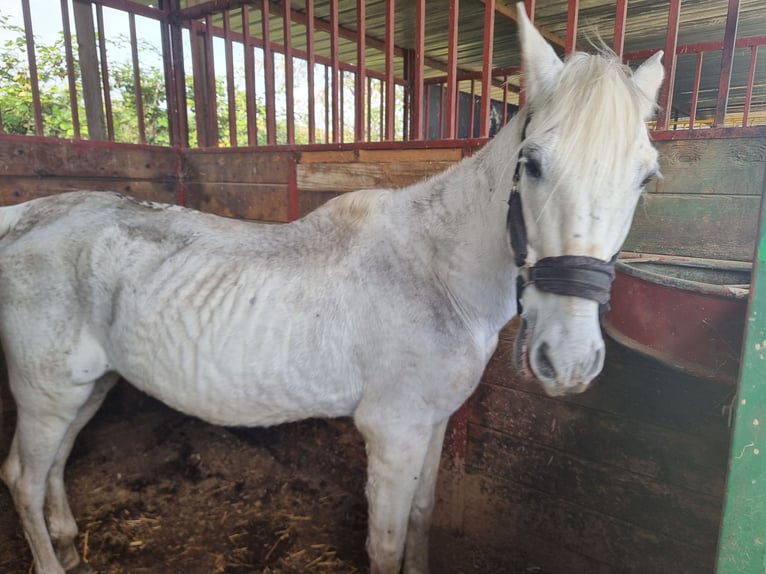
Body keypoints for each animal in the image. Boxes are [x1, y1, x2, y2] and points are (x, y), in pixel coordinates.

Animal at [0, 5, 664, 574]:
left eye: (646, 177)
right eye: (531, 163)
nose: (568, 360)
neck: (436, 274)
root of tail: (25, 218)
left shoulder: (432, 426)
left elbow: (421, 518)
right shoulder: (392, 434)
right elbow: (385, 545)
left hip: (86, 388)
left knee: (54, 465)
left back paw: (70, 545)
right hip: (45, 394)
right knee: (23, 478)